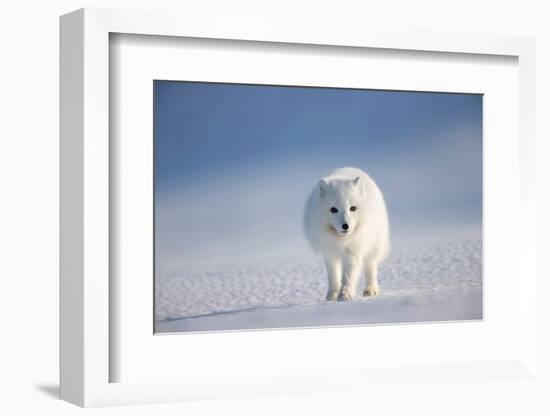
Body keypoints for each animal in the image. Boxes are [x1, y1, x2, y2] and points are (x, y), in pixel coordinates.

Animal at [304, 167, 390, 300]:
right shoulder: (329, 253)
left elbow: (349, 275)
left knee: (370, 266)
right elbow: (333, 276)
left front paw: (345, 294)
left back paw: (370, 290)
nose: (345, 226)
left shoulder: (353, 252)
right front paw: (332, 295)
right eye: (333, 209)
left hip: (373, 245)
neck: (341, 241)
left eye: (352, 208)